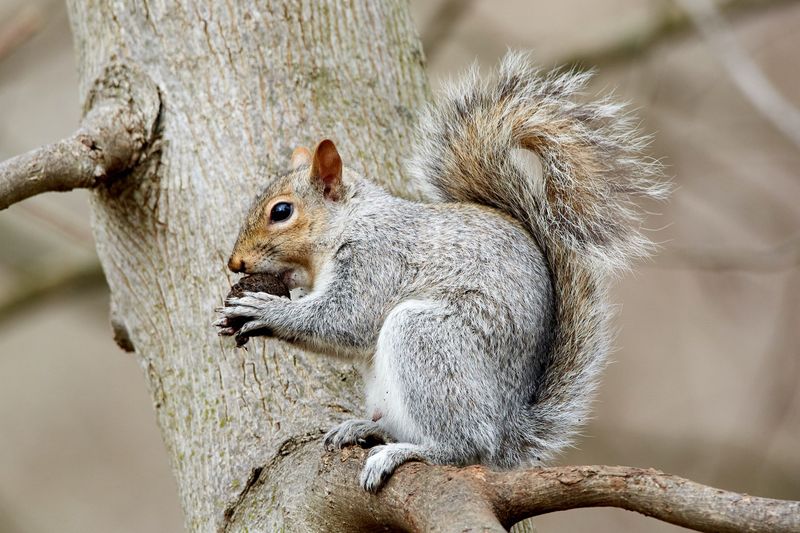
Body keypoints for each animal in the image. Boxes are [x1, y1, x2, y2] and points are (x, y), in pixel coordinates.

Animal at [215, 52, 667, 492]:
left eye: (281, 211)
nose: (235, 263)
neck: (349, 224)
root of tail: (507, 426)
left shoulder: (377, 259)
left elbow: (347, 320)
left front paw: (264, 310)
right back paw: (366, 429)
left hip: (430, 342)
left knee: (464, 446)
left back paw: (408, 452)